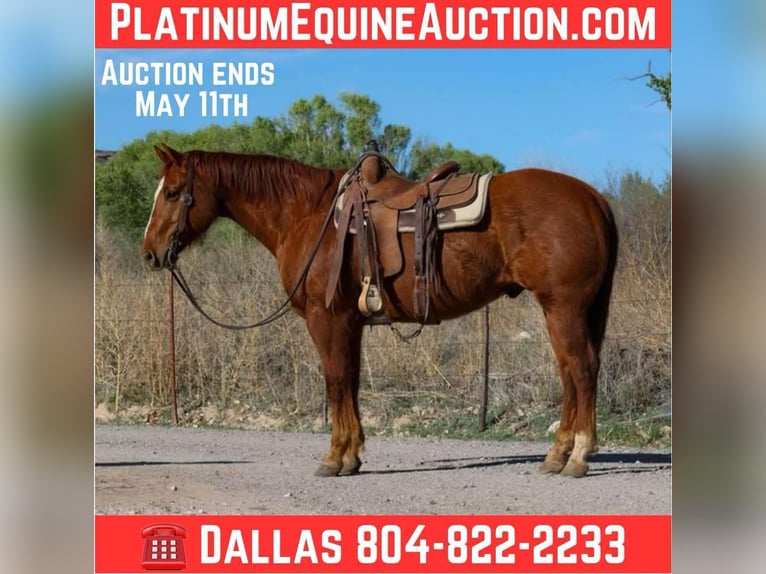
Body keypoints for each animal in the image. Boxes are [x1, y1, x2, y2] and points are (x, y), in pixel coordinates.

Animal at [141, 144, 618, 478]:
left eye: (172, 193)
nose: (149, 254)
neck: (309, 216)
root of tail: (592, 197)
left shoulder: (327, 320)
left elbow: (335, 382)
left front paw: (334, 458)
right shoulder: (349, 323)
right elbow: (350, 382)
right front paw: (352, 455)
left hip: (563, 308)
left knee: (581, 369)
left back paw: (578, 456)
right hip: (569, 311)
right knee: (571, 373)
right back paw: (556, 455)